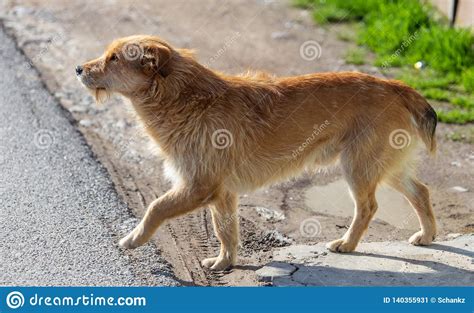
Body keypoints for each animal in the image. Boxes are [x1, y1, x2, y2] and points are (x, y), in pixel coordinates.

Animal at [77, 33, 436, 268]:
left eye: (114, 58)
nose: (78, 69)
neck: (183, 98)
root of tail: (395, 86)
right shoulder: (221, 194)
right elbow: (225, 231)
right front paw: (225, 262)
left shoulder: (199, 186)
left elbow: (155, 208)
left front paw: (133, 239)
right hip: (386, 166)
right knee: (421, 191)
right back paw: (427, 234)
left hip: (359, 167)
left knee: (368, 207)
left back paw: (347, 244)